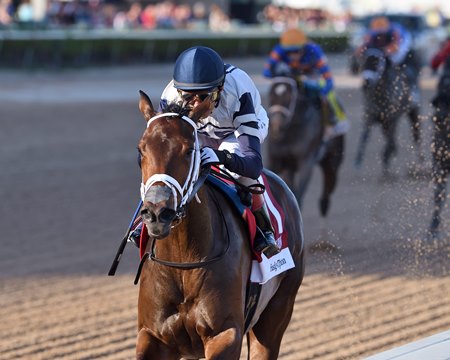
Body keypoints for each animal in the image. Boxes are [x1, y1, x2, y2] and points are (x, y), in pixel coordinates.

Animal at [134, 90, 306, 360]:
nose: (157, 213)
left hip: (276, 311)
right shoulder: (152, 335)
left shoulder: (225, 334)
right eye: (141, 150)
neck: (183, 261)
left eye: (189, 150)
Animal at [266, 76, 342, 217]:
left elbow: (299, 193)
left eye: (289, 97)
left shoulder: (306, 160)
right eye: (271, 95)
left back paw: (324, 204)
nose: (276, 127)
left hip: (333, 159)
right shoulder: (276, 158)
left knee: (330, 180)